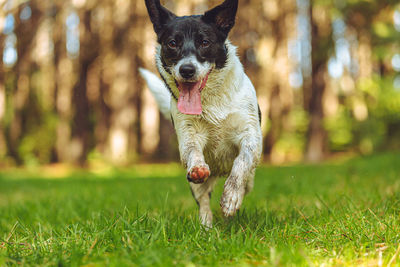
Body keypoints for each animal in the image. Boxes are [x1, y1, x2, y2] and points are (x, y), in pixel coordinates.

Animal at [140, 0, 262, 228]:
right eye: (172, 43)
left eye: (205, 42)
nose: (187, 70)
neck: (211, 102)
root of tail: (220, 171)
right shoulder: (188, 134)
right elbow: (193, 152)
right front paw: (198, 166)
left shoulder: (250, 135)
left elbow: (242, 163)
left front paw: (231, 197)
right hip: (197, 186)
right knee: (203, 201)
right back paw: (206, 228)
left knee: (247, 180)